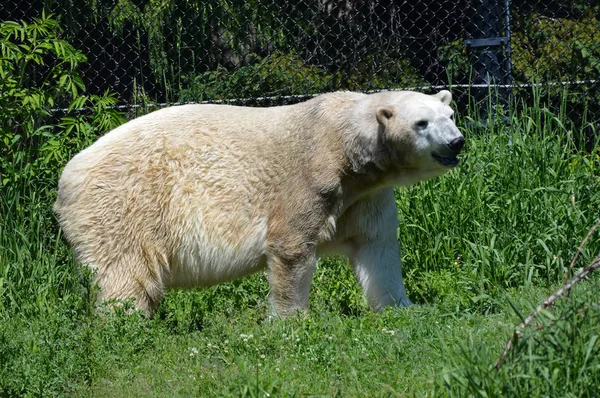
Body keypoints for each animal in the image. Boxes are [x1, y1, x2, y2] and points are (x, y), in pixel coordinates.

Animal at [54, 90, 464, 318]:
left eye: (450, 114)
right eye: (422, 123)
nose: (456, 141)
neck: (344, 145)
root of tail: (66, 179)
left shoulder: (364, 195)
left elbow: (377, 247)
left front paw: (404, 308)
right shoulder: (311, 179)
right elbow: (291, 247)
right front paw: (293, 321)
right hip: (123, 206)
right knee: (125, 275)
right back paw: (126, 326)